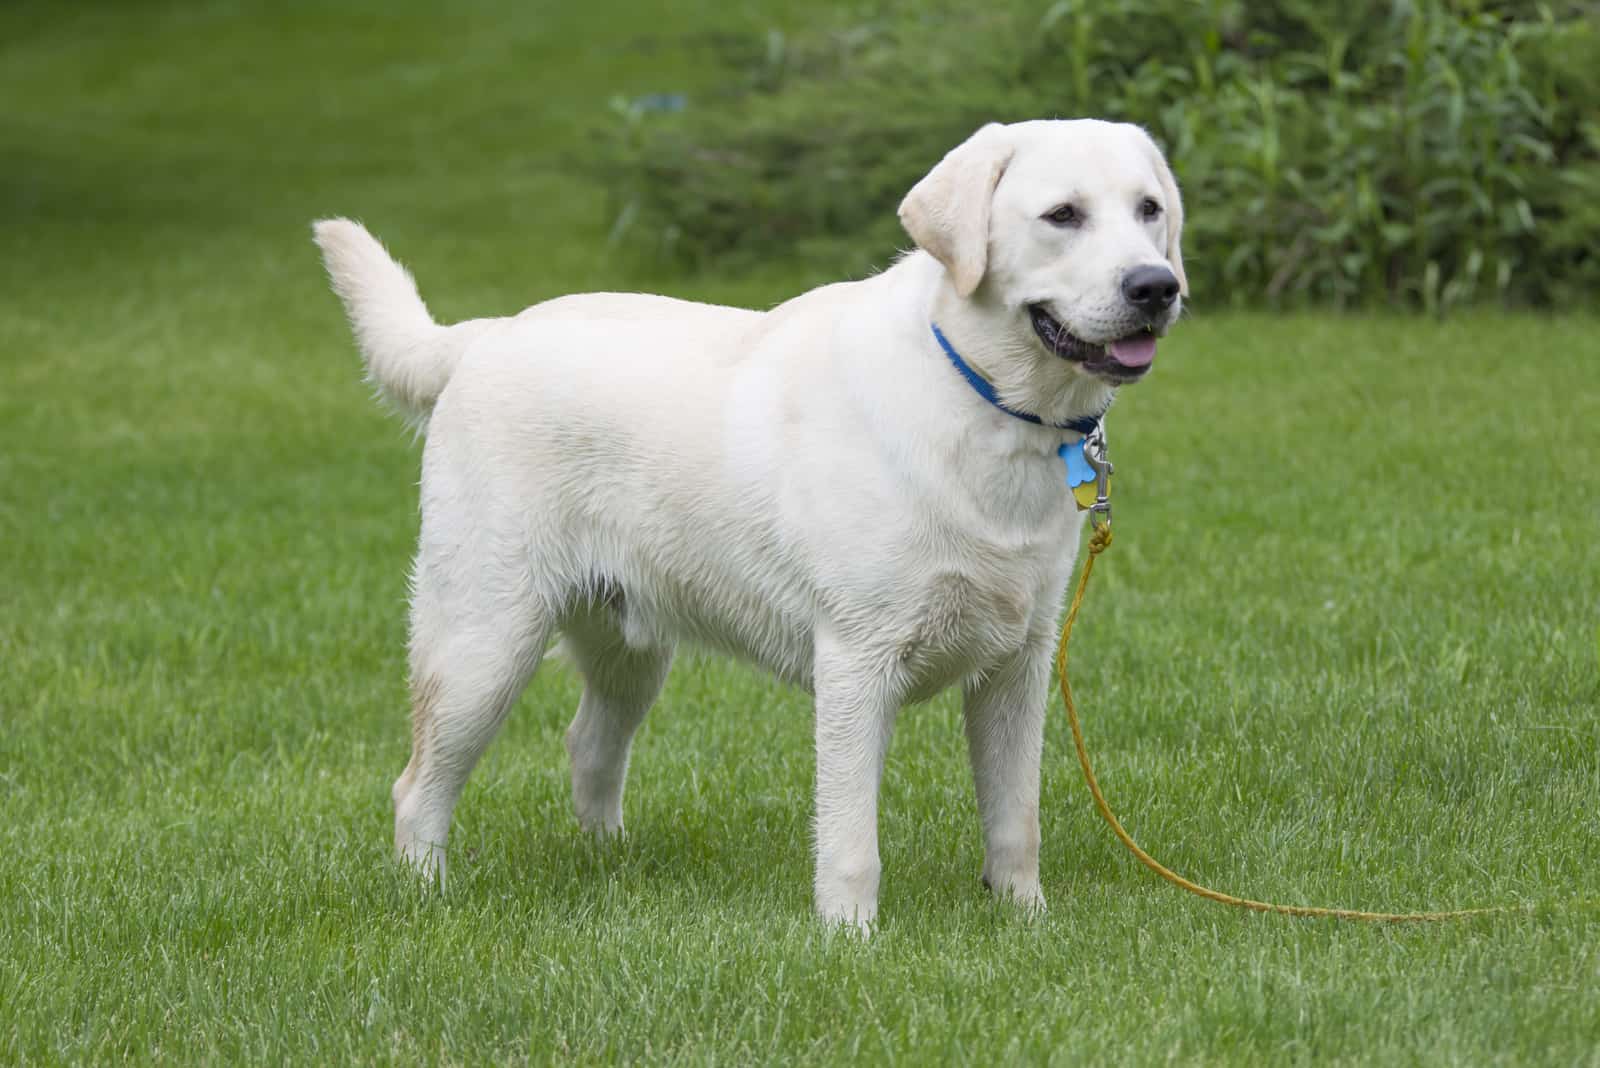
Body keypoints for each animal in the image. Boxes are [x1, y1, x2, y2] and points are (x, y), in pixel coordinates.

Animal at [315, 116, 1190, 927]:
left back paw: (611, 863)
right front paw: (850, 940)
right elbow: (850, 836)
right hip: (483, 643)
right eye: (1062, 215)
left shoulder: (1020, 665)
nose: (1156, 286)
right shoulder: (856, 663)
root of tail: (481, 337)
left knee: (589, 744)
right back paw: (426, 894)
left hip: (629, 651)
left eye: (1149, 209)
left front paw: (1024, 920)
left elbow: (1016, 819)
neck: (983, 399)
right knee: (417, 784)